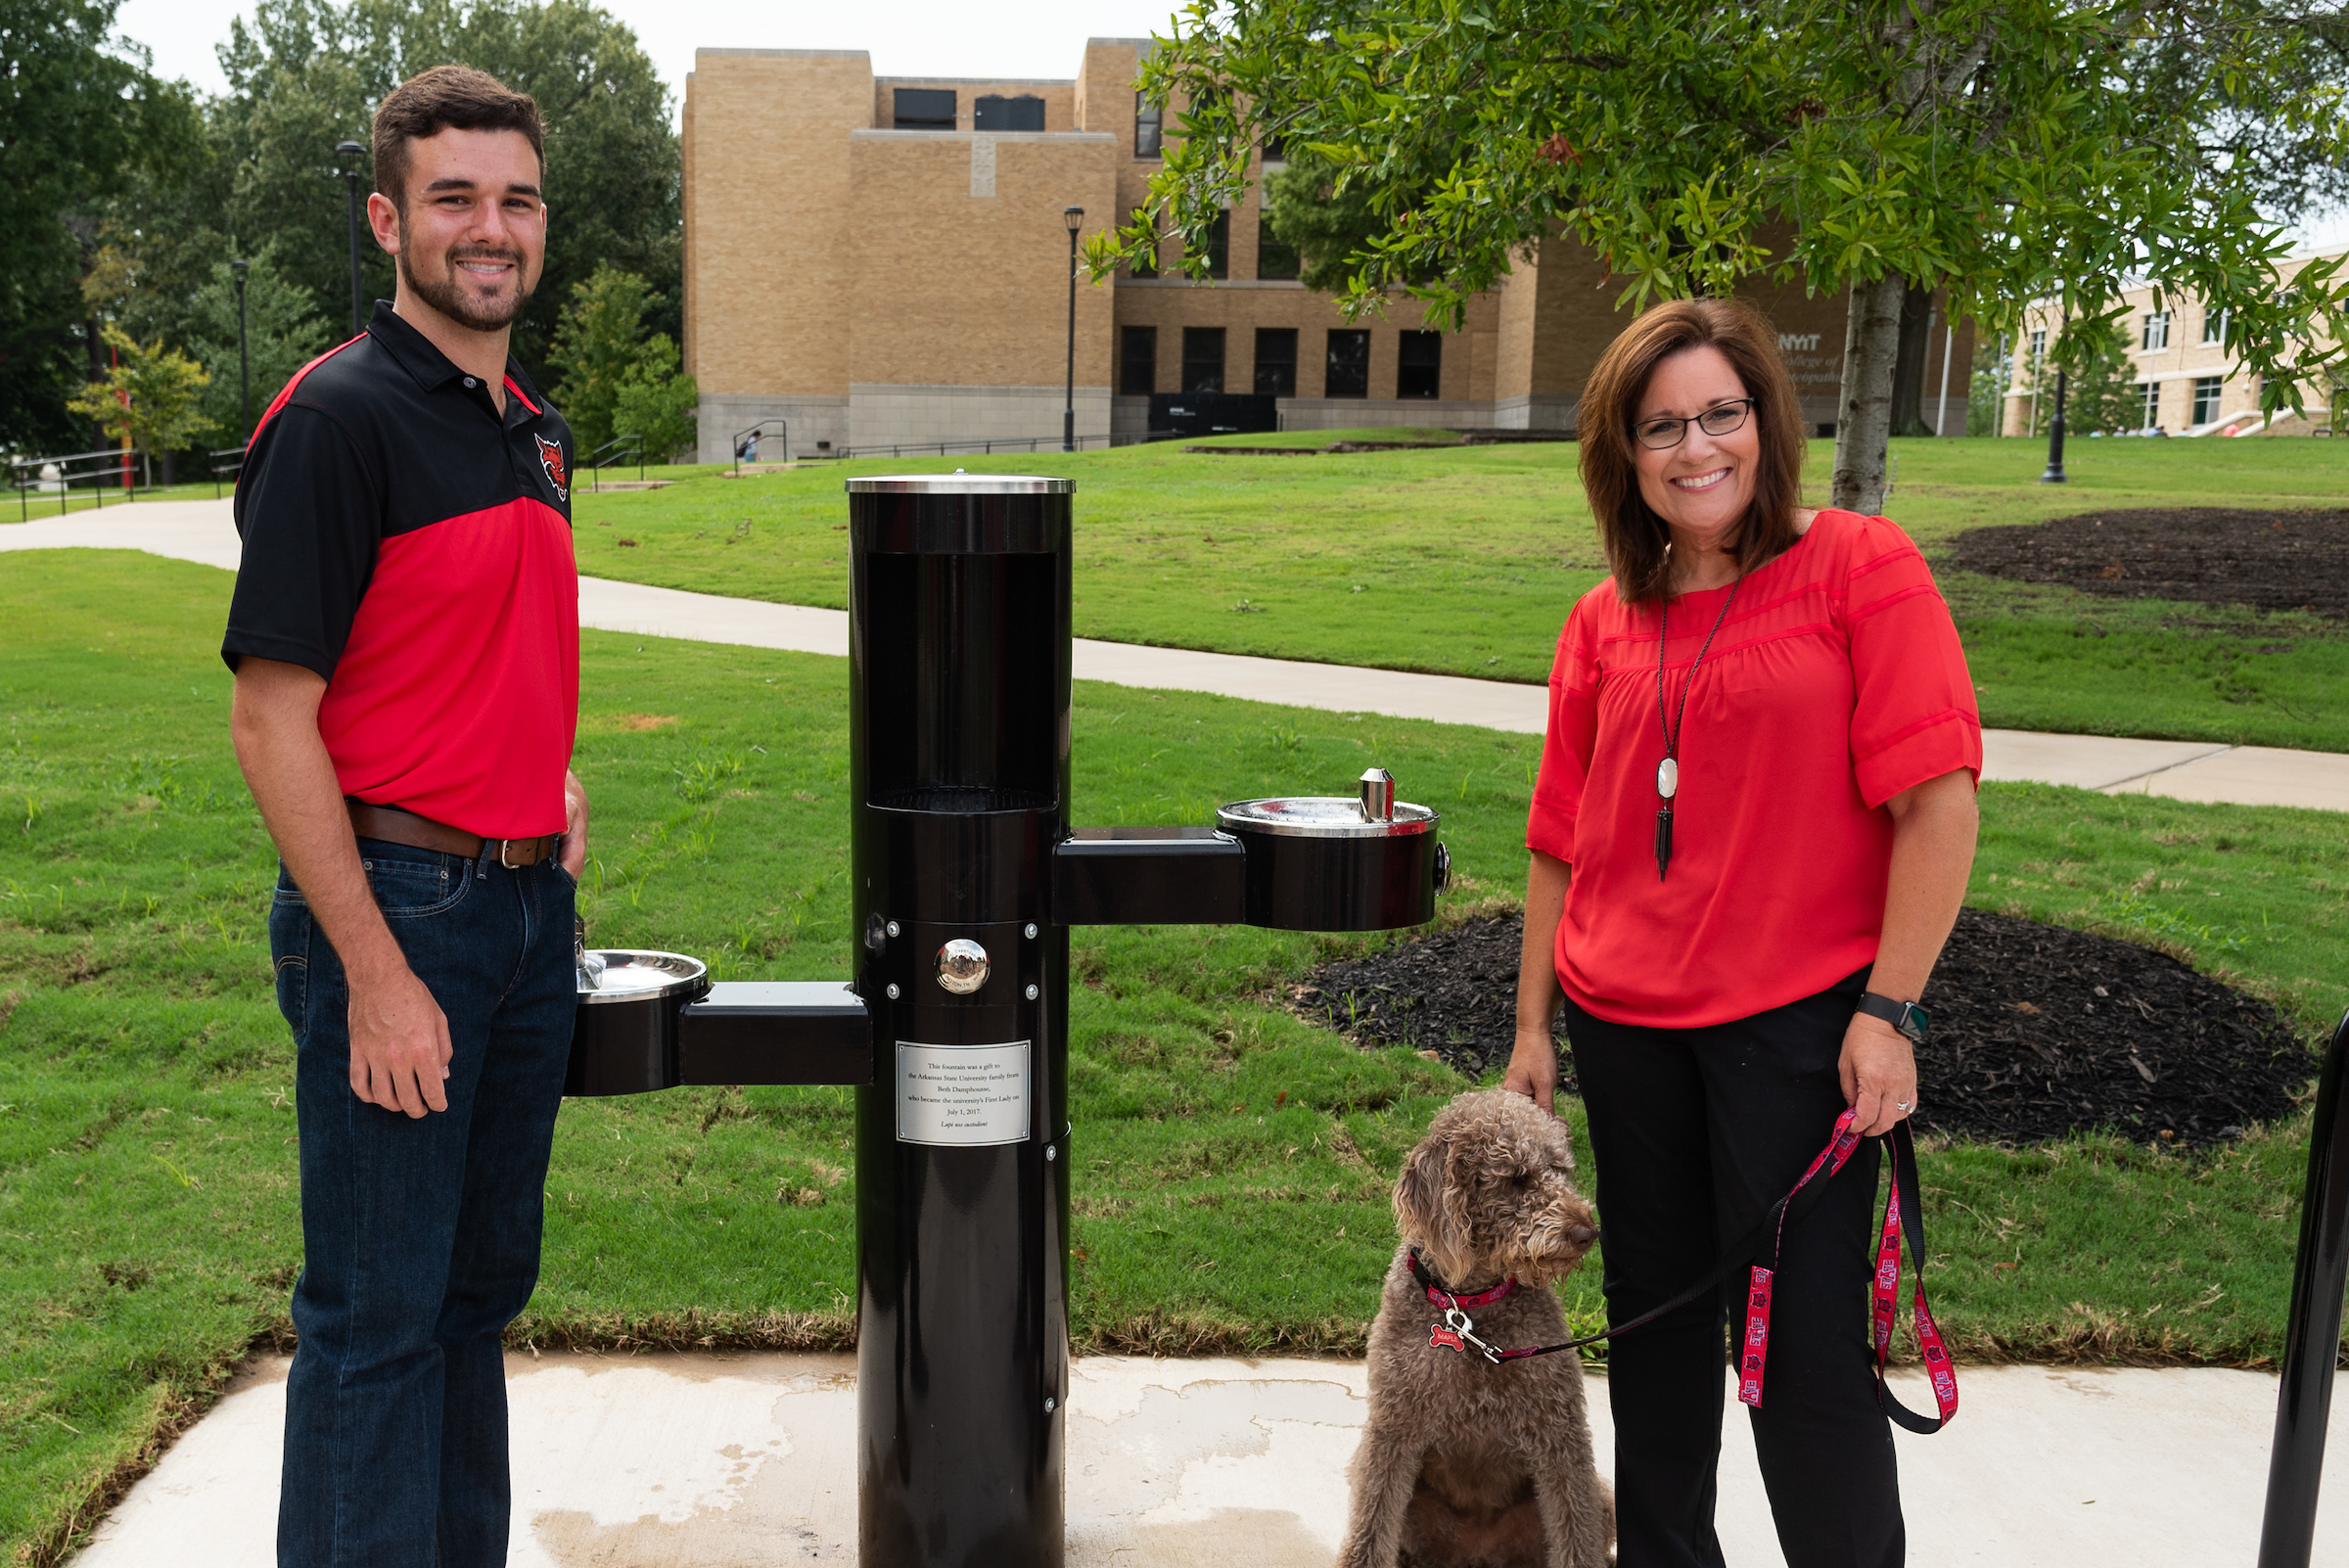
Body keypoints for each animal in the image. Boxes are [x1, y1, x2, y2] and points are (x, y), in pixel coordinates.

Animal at [1343, 1088, 1616, 1568]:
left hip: (1600, 1498)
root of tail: (1477, 1553)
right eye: (1518, 1178)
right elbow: (1371, 1526)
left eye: (1561, 1170)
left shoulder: (1560, 1432)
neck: (1469, 1310)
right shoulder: (1392, 1427)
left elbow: (1576, 1532)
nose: (1587, 1232)